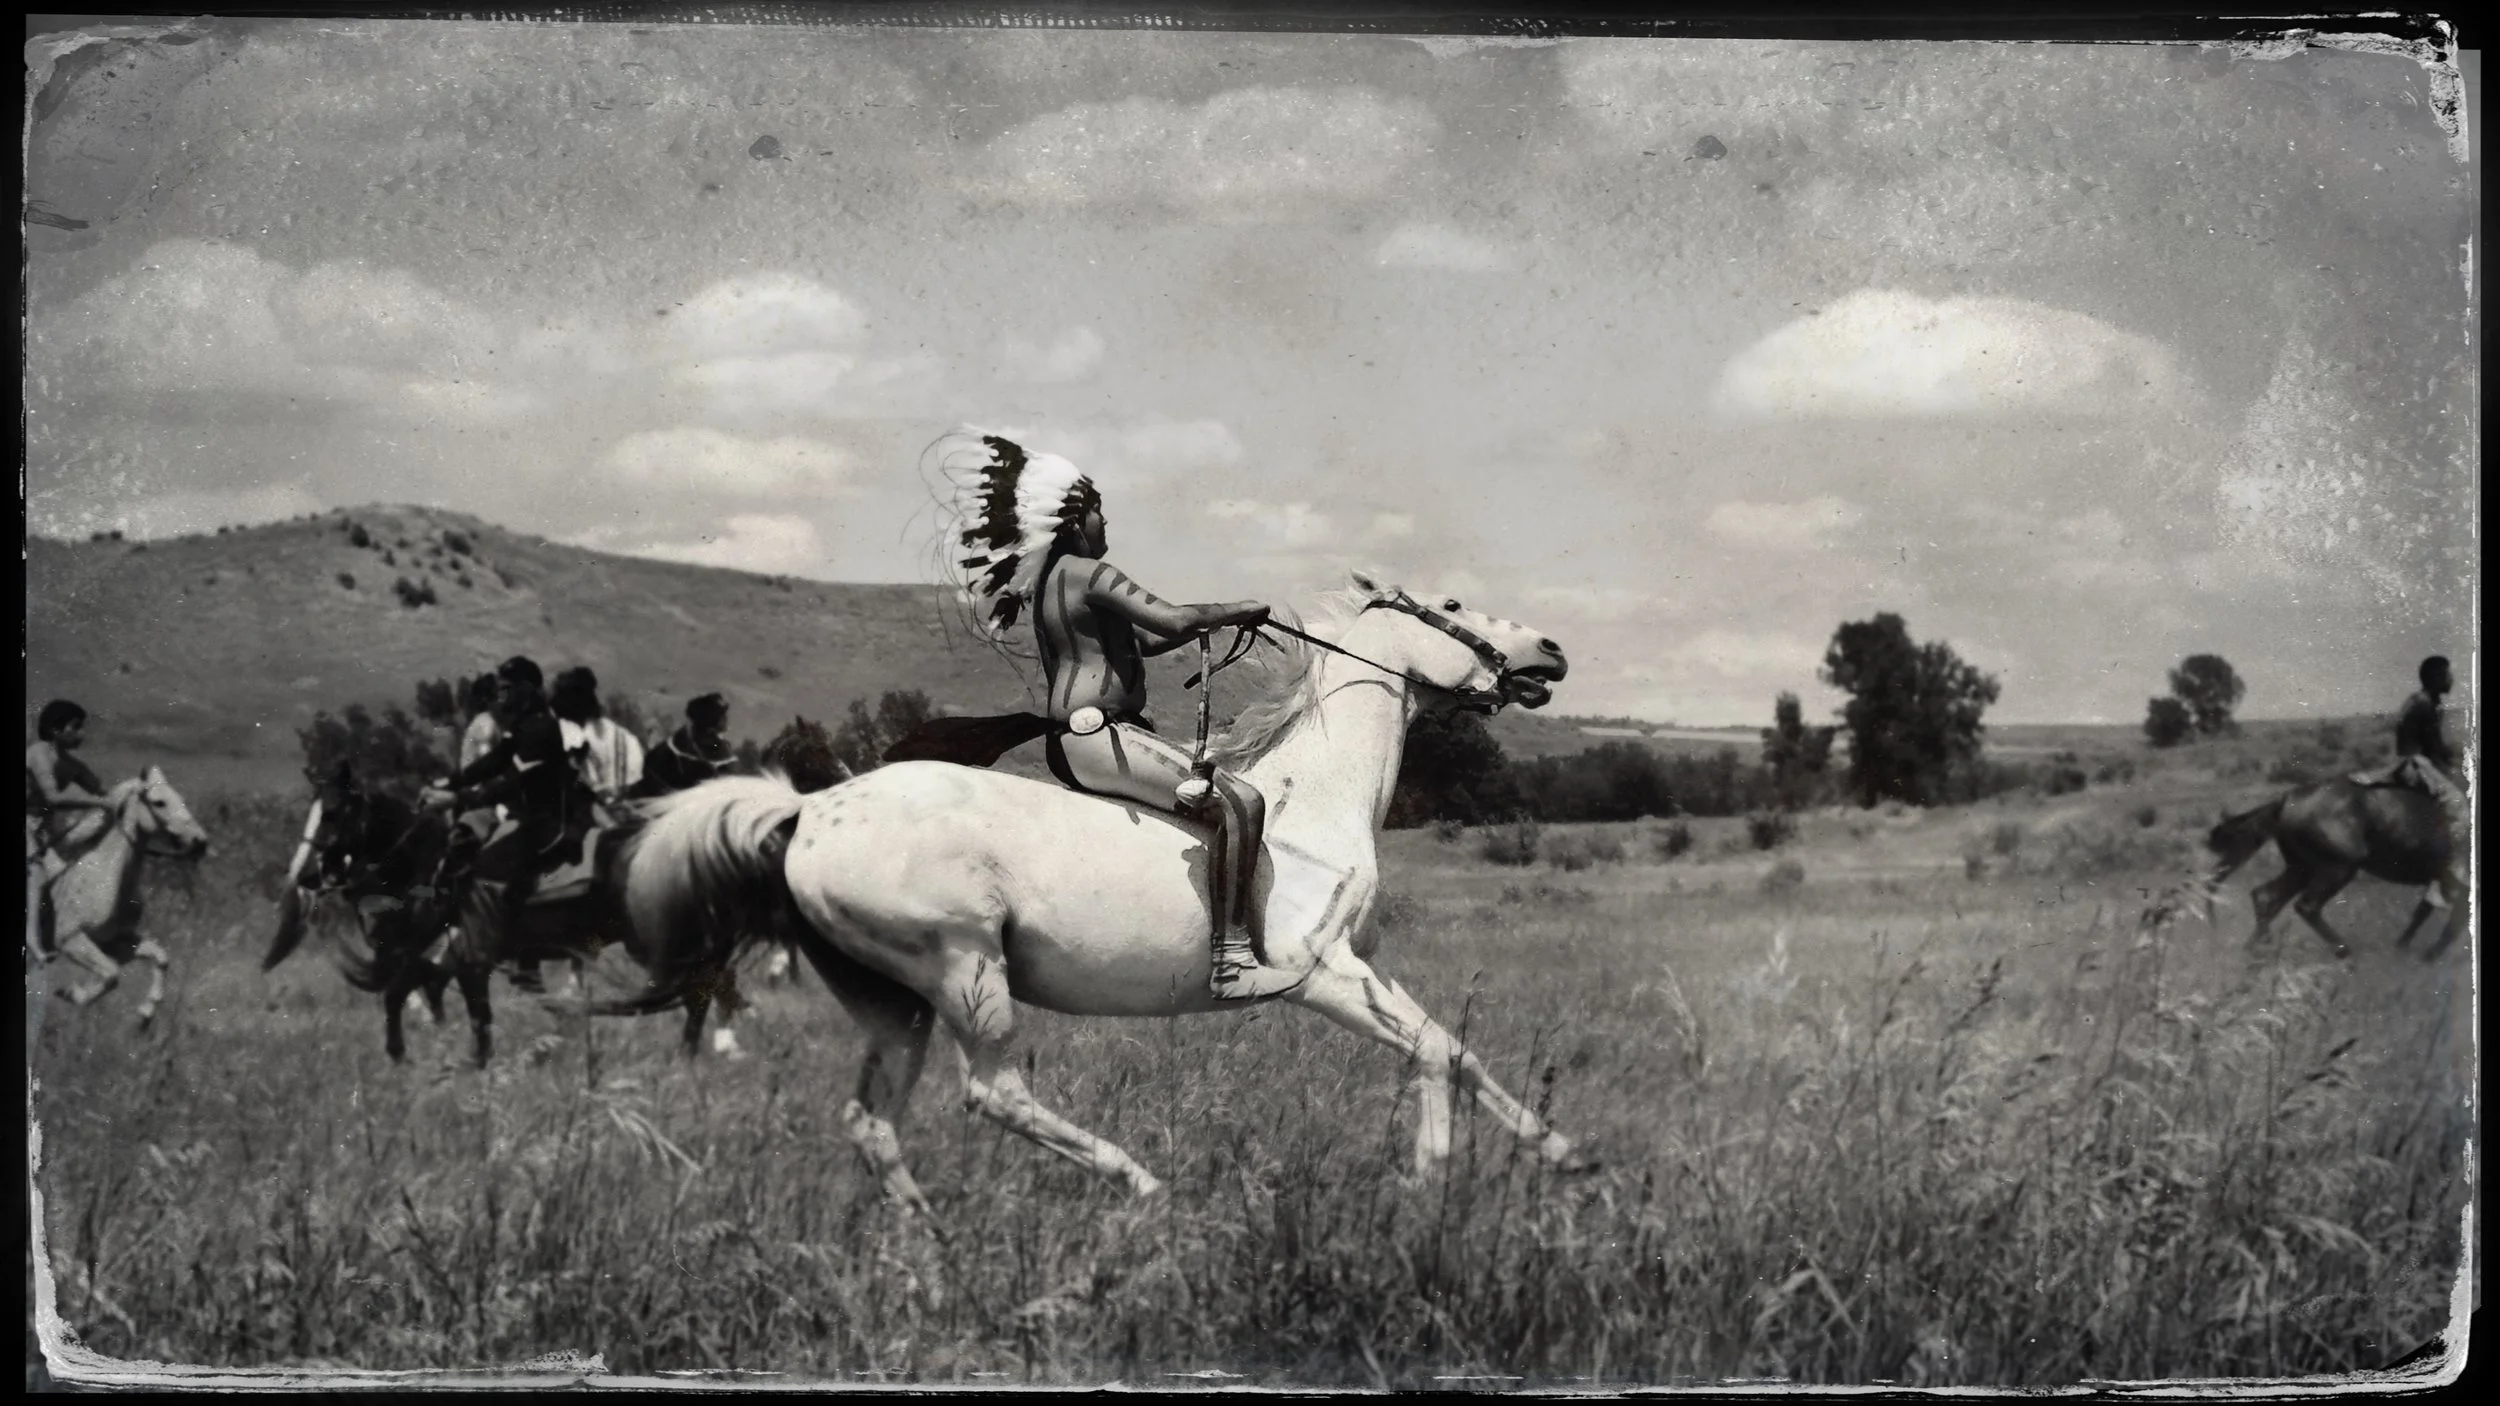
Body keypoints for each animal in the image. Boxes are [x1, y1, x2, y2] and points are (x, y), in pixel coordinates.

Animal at [29, 768, 211, 1026]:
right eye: (159, 802)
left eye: (180, 797)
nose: (200, 841)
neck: (103, 878)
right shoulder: (70, 940)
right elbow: (111, 973)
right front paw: (73, 994)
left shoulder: (114, 942)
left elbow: (159, 957)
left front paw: (147, 1009)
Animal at [617, 572, 1586, 1216]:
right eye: (1451, 610)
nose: (1552, 651)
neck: (1314, 800)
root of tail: (809, 811)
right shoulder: (1321, 977)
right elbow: (1429, 1053)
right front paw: (1428, 1176)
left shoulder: (1359, 969)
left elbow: (1454, 1050)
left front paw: (1560, 1152)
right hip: (964, 972)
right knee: (993, 1093)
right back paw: (1141, 1184)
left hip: (897, 1005)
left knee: (871, 1122)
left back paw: (924, 1238)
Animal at [2206, 778, 2467, 961]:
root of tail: (2286, 799)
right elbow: (2451, 929)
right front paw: (2428, 959)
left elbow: (2421, 916)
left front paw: (2402, 951)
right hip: (2338, 868)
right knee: (2306, 906)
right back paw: (2345, 953)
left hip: (2302, 868)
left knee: (2265, 896)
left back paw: (2256, 949)